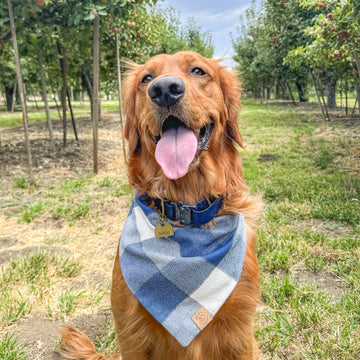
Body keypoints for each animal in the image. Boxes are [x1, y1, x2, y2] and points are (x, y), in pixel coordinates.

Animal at [60, 50, 260, 360]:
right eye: (147, 78)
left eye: (198, 71)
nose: (164, 89)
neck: (185, 210)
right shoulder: (130, 331)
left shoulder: (240, 331)